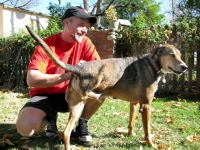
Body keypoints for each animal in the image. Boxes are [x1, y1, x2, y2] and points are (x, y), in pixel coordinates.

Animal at [25, 25, 188, 149]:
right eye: (172, 55)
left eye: (180, 55)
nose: (185, 67)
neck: (153, 64)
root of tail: (78, 69)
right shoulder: (146, 105)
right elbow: (147, 131)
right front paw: (151, 144)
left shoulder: (134, 103)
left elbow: (131, 122)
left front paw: (130, 134)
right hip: (98, 76)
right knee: (88, 93)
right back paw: (99, 95)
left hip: (76, 107)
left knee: (66, 132)